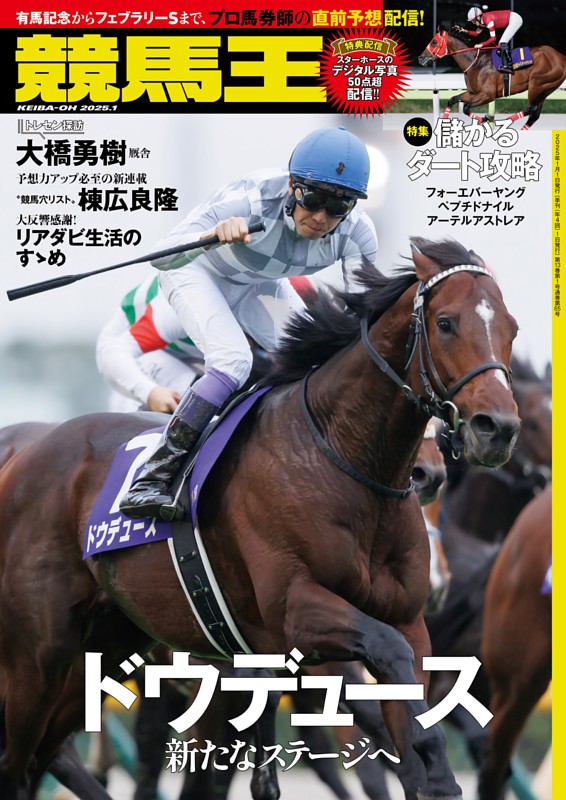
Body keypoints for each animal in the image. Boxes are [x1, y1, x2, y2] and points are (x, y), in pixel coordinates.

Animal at [0, 236, 521, 800]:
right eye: (446, 323)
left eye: (511, 328)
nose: (497, 428)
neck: (341, 459)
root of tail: (25, 454)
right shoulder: (292, 614)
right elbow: (386, 657)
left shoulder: (404, 623)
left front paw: (436, 772)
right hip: (39, 654)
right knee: (17, 760)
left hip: (105, 647)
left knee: (43, 757)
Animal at [418, 27, 566, 129]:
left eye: (434, 42)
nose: (420, 58)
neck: (475, 62)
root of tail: (561, 56)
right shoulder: (473, 93)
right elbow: (453, 100)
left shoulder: (488, 95)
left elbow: (466, 107)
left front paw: (487, 117)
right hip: (546, 88)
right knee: (534, 115)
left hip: (537, 83)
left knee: (531, 108)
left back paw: (504, 122)